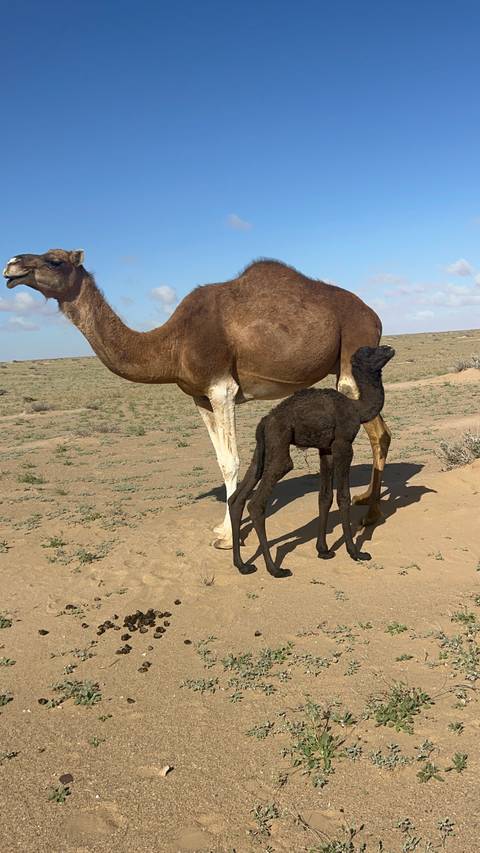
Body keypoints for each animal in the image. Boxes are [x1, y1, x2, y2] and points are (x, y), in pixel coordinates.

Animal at [3, 249, 391, 548]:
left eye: (54, 260)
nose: (12, 264)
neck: (172, 343)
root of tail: (374, 316)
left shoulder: (222, 389)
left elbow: (233, 461)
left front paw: (227, 536)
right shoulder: (200, 398)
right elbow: (220, 460)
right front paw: (223, 526)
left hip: (351, 357)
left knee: (376, 432)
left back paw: (371, 515)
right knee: (382, 433)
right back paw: (367, 500)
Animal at [229, 345, 395, 577]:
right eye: (370, 352)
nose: (389, 348)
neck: (357, 409)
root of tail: (265, 421)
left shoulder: (326, 448)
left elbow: (324, 497)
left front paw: (323, 550)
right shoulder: (343, 444)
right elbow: (343, 496)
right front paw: (355, 552)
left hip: (263, 448)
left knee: (238, 497)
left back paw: (242, 565)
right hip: (280, 442)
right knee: (257, 502)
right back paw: (275, 569)